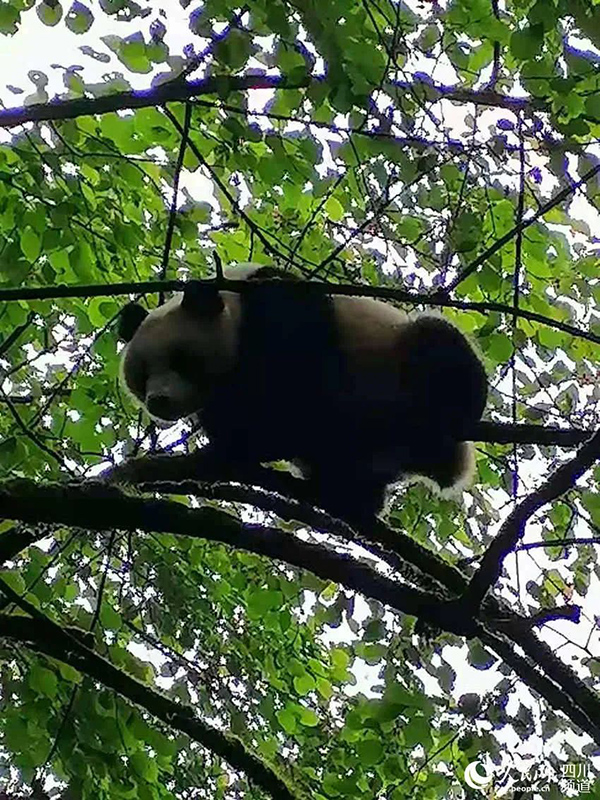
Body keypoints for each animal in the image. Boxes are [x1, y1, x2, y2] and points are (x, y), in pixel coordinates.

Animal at [113, 266, 488, 520]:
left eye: (180, 359)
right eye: (142, 375)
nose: (158, 401)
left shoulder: (279, 307)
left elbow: (298, 382)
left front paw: (249, 441)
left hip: (399, 353)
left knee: (439, 345)